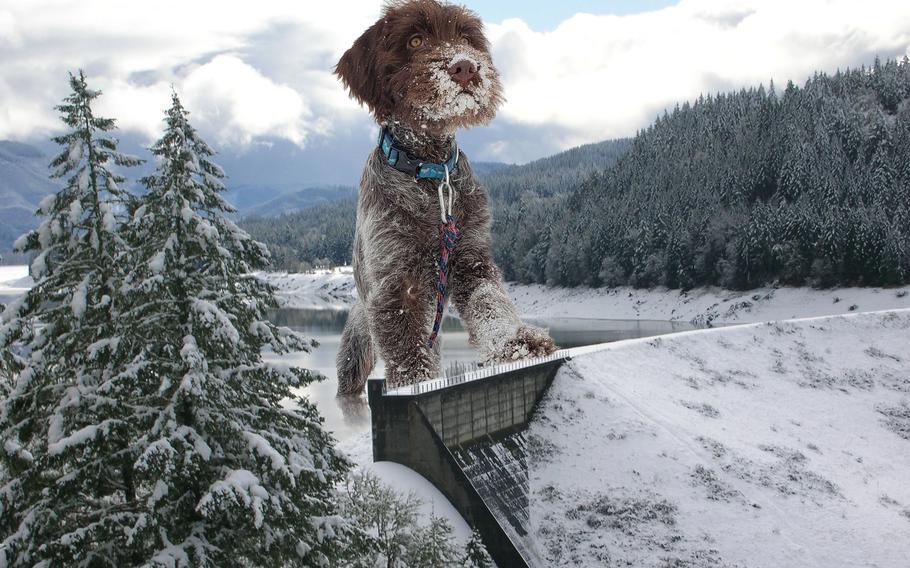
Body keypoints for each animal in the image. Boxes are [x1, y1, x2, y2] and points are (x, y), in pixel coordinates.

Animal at [334, 0, 556, 394]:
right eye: (415, 41)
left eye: (466, 39)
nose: (465, 66)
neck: (431, 174)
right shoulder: (395, 287)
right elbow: (406, 348)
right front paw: (414, 383)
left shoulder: (470, 259)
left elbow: (490, 304)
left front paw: (516, 343)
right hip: (359, 341)